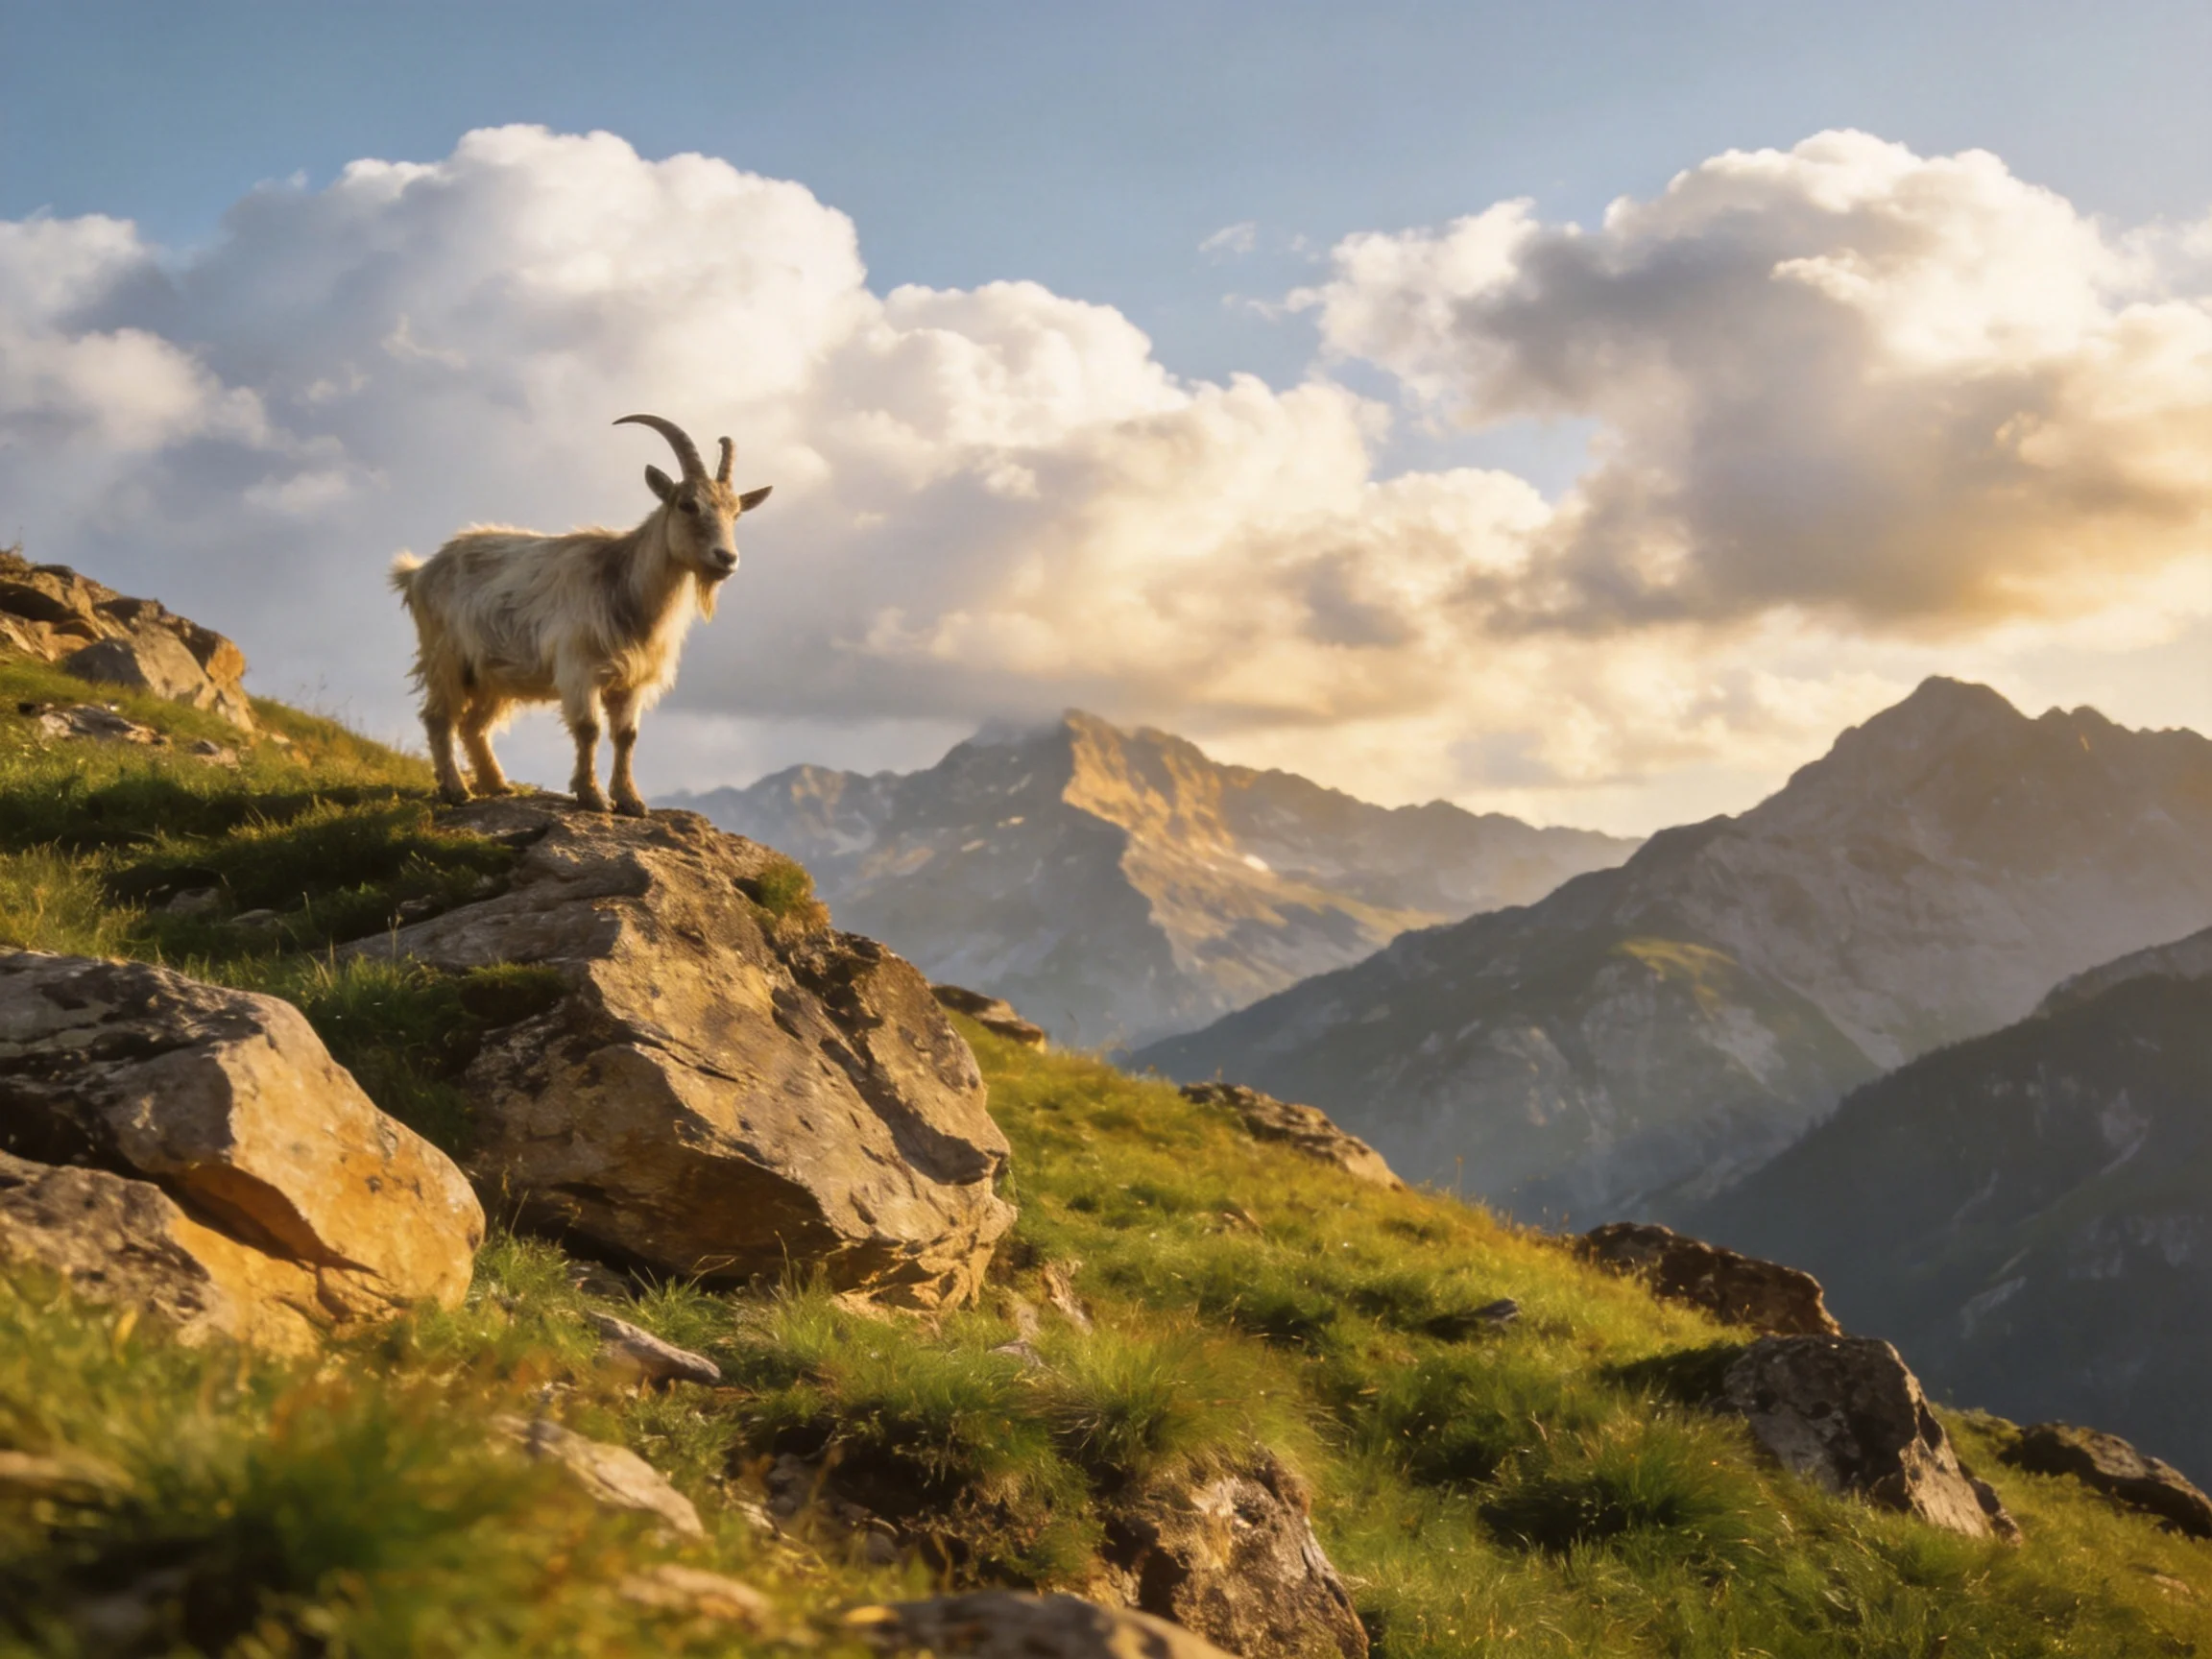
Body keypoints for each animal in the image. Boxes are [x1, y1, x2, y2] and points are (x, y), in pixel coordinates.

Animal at [390, 414, 770, 815]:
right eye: (687, 504)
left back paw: (497, 784)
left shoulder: (632, 680)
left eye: (736, 512)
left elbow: (626, 735)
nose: (726, 558)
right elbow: (589, 729)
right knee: (439, 717)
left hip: (491, 673)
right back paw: (456, 789)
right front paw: (593, 797)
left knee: (473, 726)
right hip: (445, 656)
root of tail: (418, 572)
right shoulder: (579, 668)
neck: (623, 584)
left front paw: (630, 801)